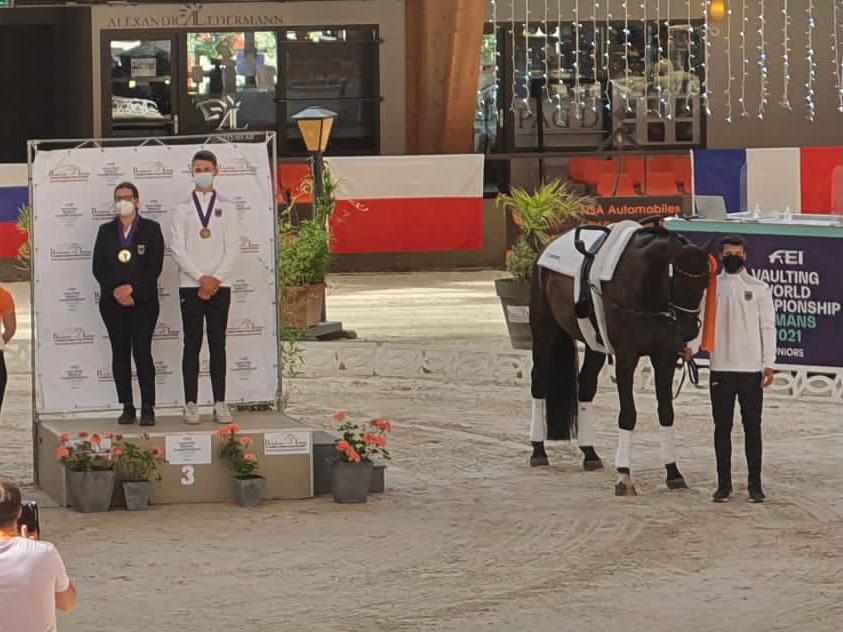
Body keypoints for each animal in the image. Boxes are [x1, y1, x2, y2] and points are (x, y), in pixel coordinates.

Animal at [532, 220, 708, 496]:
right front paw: (624, 475)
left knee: (586, 386)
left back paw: (590, 454)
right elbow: (628, 414)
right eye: (676, 279)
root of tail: (549, 245)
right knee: (539, 382)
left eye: (705, 284)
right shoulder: (626, 358)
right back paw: (538, 450)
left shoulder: (664, 358)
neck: (646, 288)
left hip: (594, 344)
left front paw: (673, 472)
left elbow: (666, 413)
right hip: (544, 331)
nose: (689, 330)